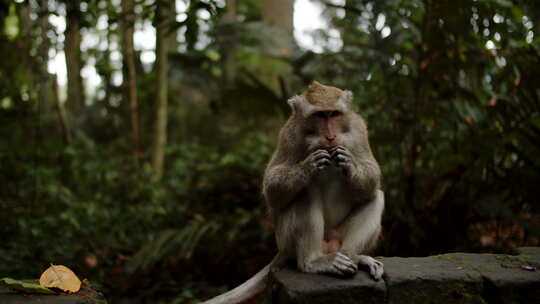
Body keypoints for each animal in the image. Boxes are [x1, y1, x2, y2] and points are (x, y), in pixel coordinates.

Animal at [202, 81, 384, 304]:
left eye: (334, 114)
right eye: (319, 115)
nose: (330, 137)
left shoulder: (358, 130)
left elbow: (372, 176)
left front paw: (349, 162)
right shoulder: (289, 134)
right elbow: (272, 185)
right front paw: (308, 166)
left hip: (337, 237)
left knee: (375, 197)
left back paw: (355, 258)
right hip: (286, 239)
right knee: (306, 192)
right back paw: (313, 261)